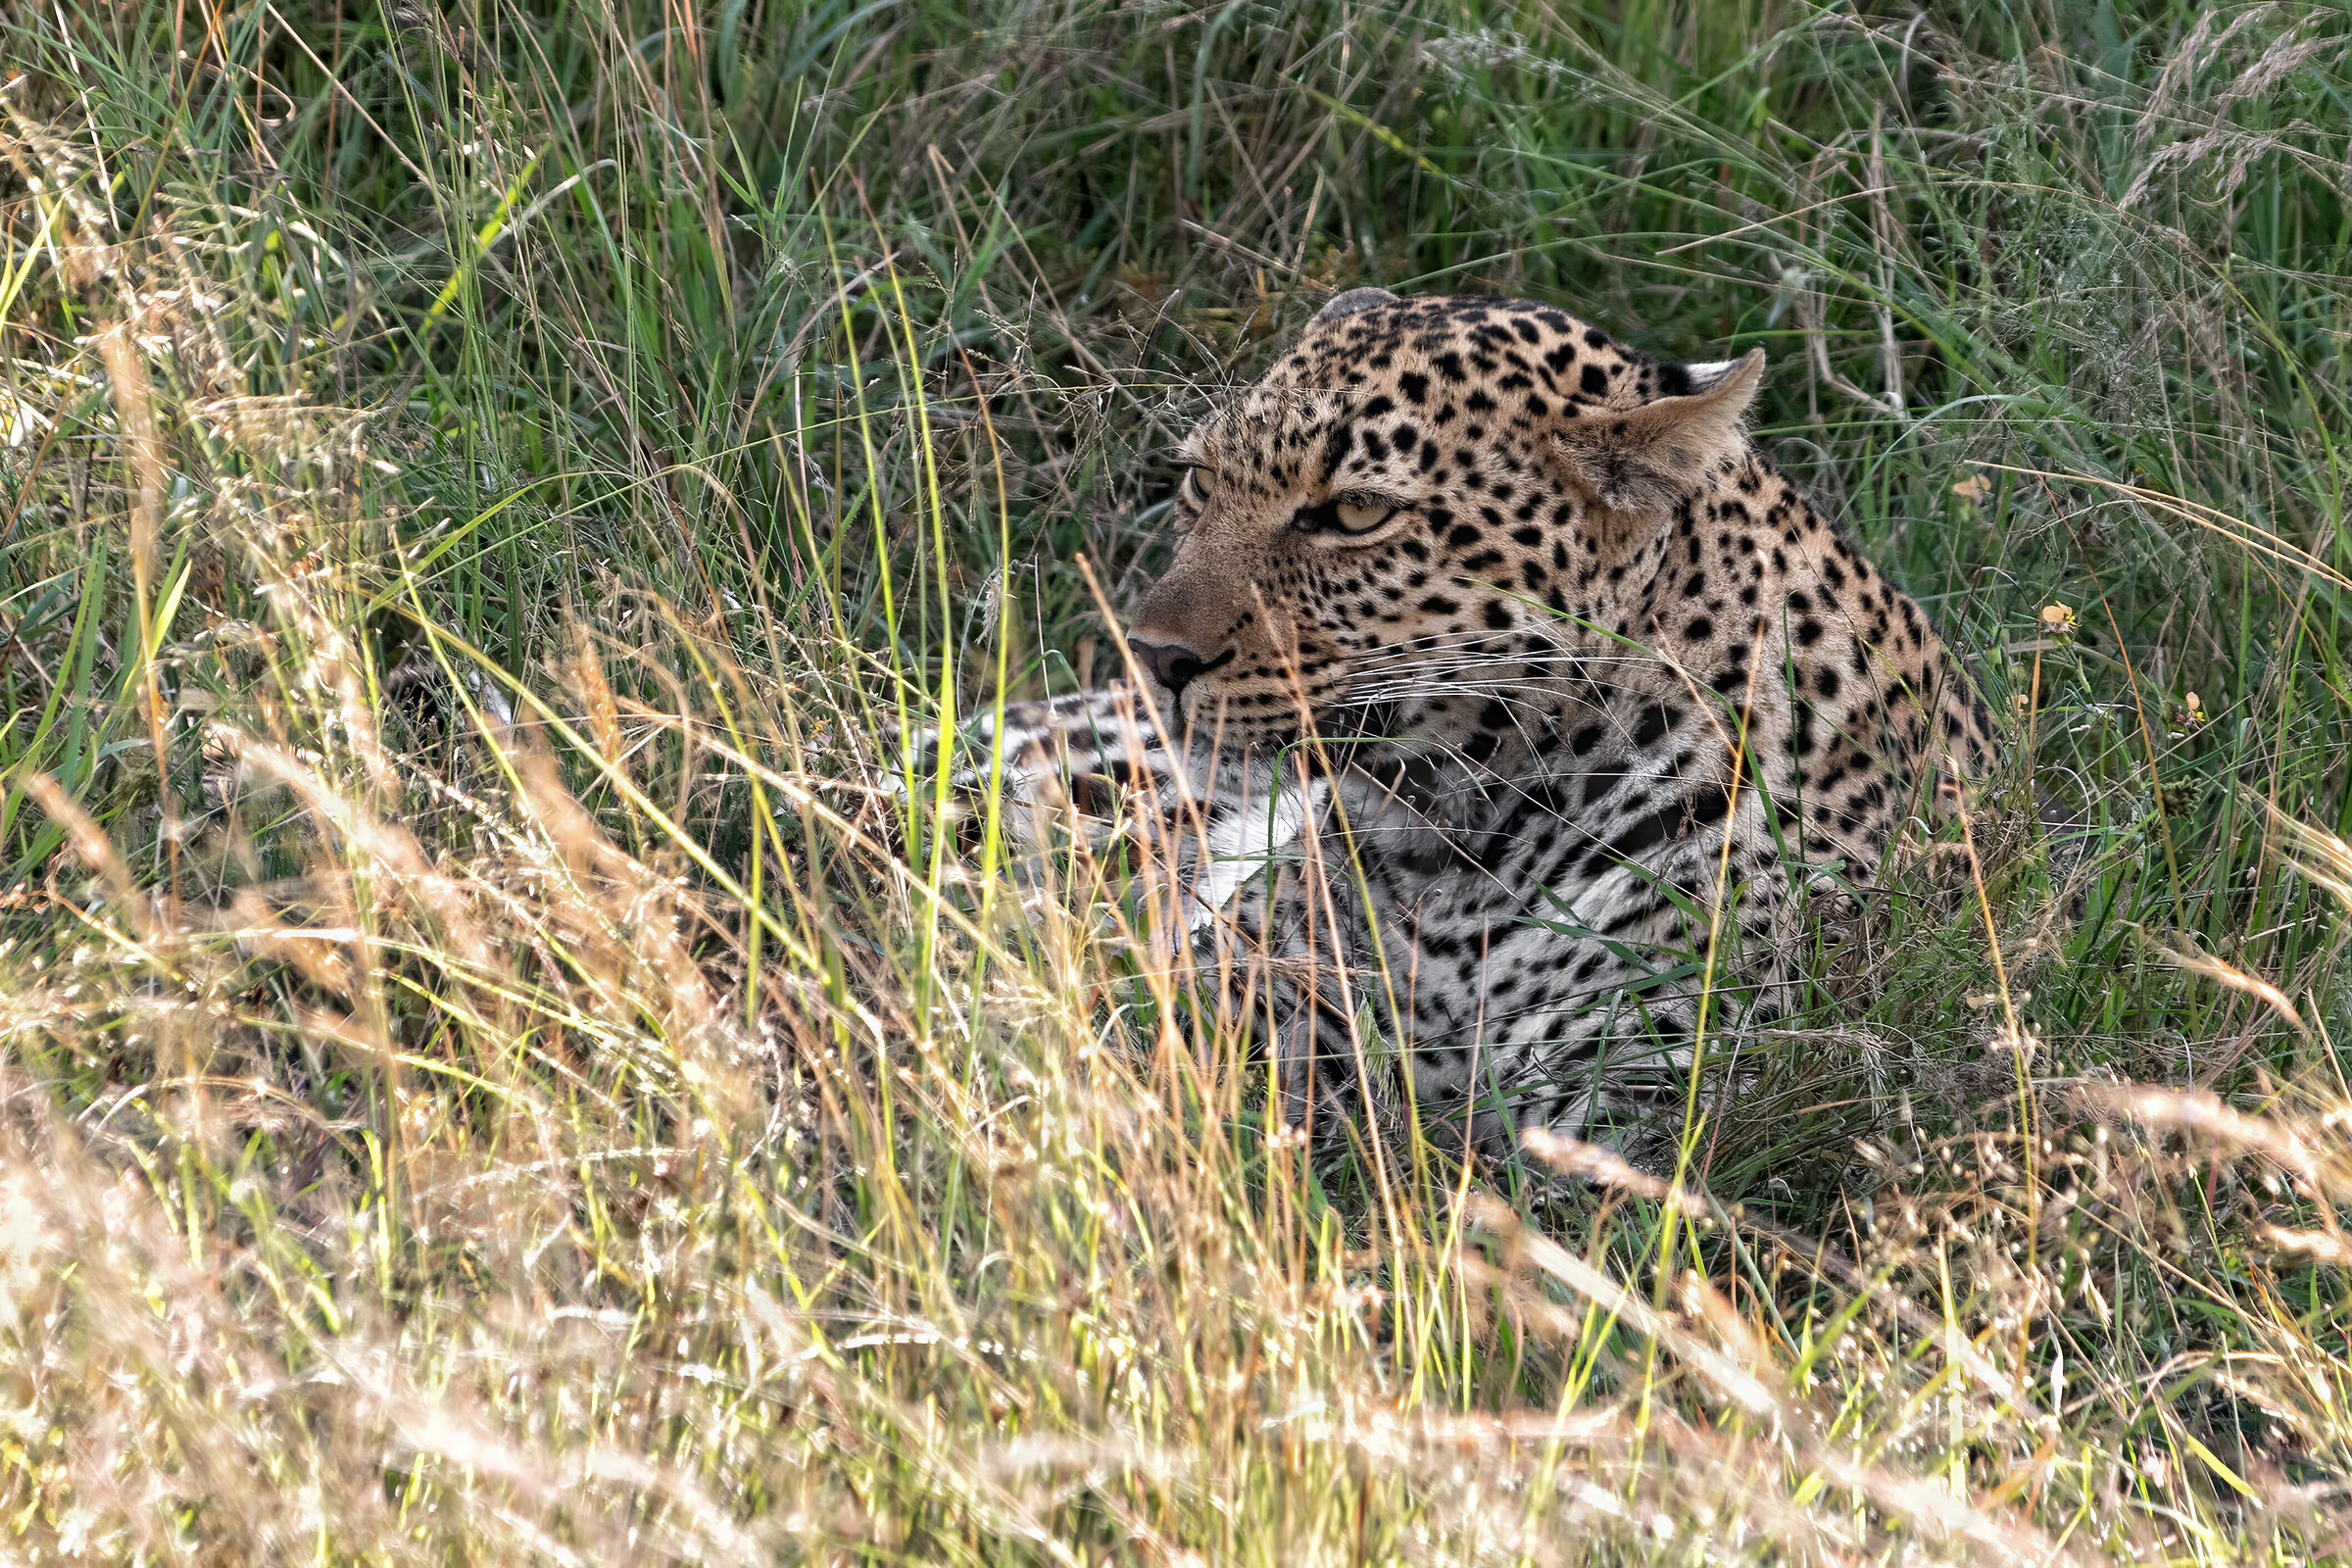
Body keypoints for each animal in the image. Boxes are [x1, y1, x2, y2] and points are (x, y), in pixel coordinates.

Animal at [916, 288, 1998, 1166]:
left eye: (1354, 512)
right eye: (1200, 482)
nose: (1155, 655)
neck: (1455, 844)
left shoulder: (1634, 1107)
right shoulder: (1242, 996)